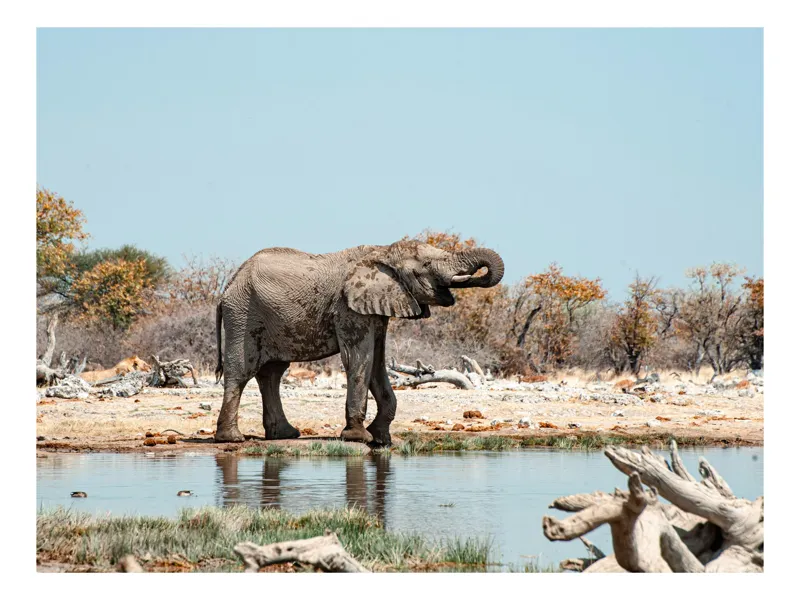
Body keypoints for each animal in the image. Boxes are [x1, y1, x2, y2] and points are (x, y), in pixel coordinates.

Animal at [213, 239, 504, 445]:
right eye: (427, 266)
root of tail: (228, 287)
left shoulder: (376, 310)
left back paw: (285, 434)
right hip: (244, 314)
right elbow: (358, 359)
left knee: (271, 373)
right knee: (242, 370)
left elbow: (376, 361)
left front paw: (381, 439)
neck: (383, 252)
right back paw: (232, 439)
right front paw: (359, 438)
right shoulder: (348, 308)